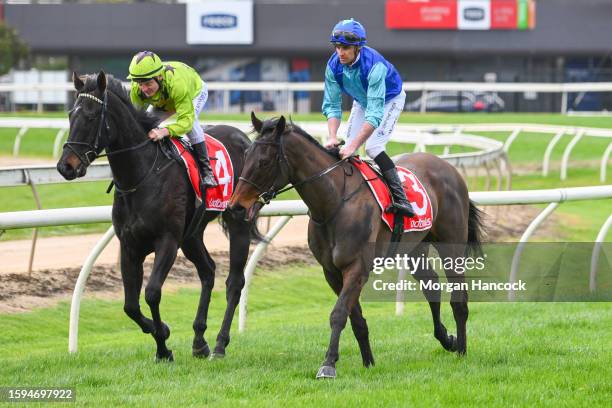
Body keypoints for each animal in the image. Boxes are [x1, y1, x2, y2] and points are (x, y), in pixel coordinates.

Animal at [54, 71, 260, 362]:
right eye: (71, 114)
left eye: (92, 117)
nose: (66, 167)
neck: (141, 175)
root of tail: (244, 138)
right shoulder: (129, 246)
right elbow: (130, 305)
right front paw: (161, 334)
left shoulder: (167, 241)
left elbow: (151, 293)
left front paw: (163, 344)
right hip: (192, 234)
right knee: (208, 271)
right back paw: (199, 341)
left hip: (237, 222)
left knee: (234, 282)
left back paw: (220, 343)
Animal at [227, 112, 486, 380]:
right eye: (245, 155)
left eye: (264, 161)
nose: (236, 206)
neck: (333, 203)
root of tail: (449, 168)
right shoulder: (331, 272)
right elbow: (356, 319)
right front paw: (368, 362)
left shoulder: (356, 267)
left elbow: (339, 313)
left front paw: (328, 364)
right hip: (415, 248)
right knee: (431, 286)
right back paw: (447, 339)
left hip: (451, 246)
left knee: (459, 298)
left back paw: (462, 349)